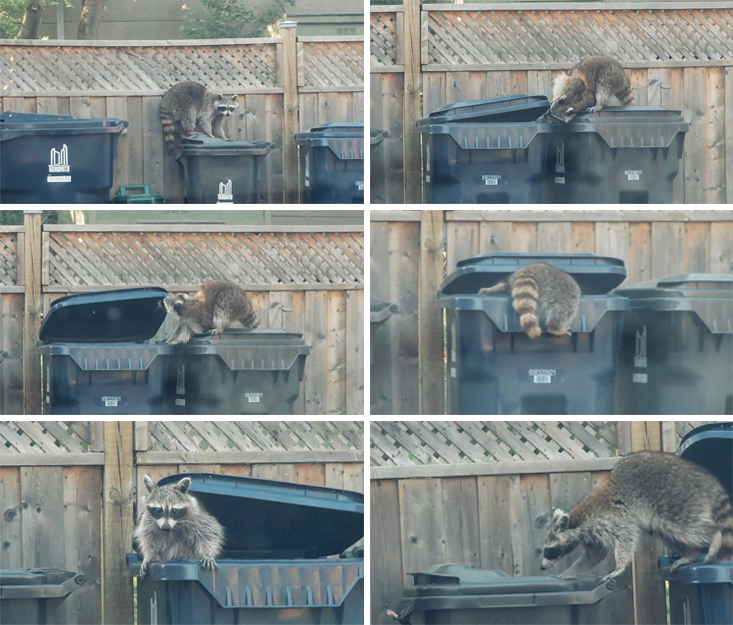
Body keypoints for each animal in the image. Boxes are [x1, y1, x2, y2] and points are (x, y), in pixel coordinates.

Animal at [536, 450, 732, 584]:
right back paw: (691, 554)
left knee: (688, 527)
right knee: (667, 534)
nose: (542, 567)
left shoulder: (610, 519)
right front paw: (569, 572)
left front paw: (619, 566)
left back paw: (714, 536)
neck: (578, 520)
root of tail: (706, 479)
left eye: (548, 549)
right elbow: (593, 557)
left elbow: (625, 538)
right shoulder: (592, 535)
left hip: (676, 500)